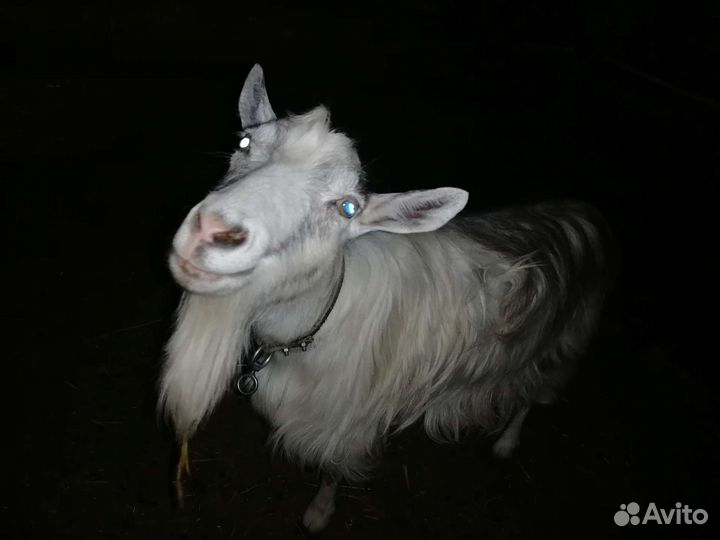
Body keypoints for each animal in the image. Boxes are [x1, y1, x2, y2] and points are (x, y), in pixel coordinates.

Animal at [160, 64, 613, 533]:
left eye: (347, 207)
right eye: (245, 143)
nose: (211, 232)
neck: (307, 334)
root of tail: (583, 214)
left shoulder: (347, 424)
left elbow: (333, 470)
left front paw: (318, 513)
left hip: (563, 339)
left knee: (533, 390)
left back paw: (506, 442)